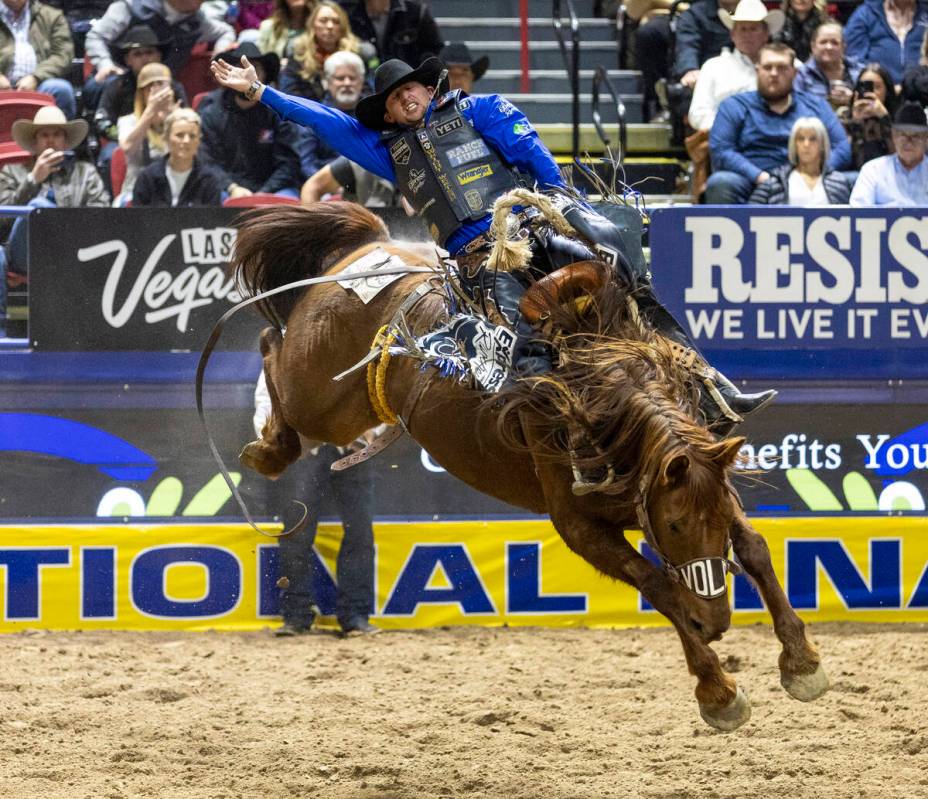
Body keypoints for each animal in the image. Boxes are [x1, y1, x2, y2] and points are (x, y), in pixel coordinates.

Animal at [228, 200, 832, 732]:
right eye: (677, 524)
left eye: (710, 521)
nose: (716, 622)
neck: (602, 399)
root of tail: (370, 244)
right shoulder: (577, 523)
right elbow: (657, 585)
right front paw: (718, 692)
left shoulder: (705, 483)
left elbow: (753, 548)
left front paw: (802, 661)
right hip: (317, 392)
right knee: (269, 344)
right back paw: (268, 449)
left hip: (346, 406)